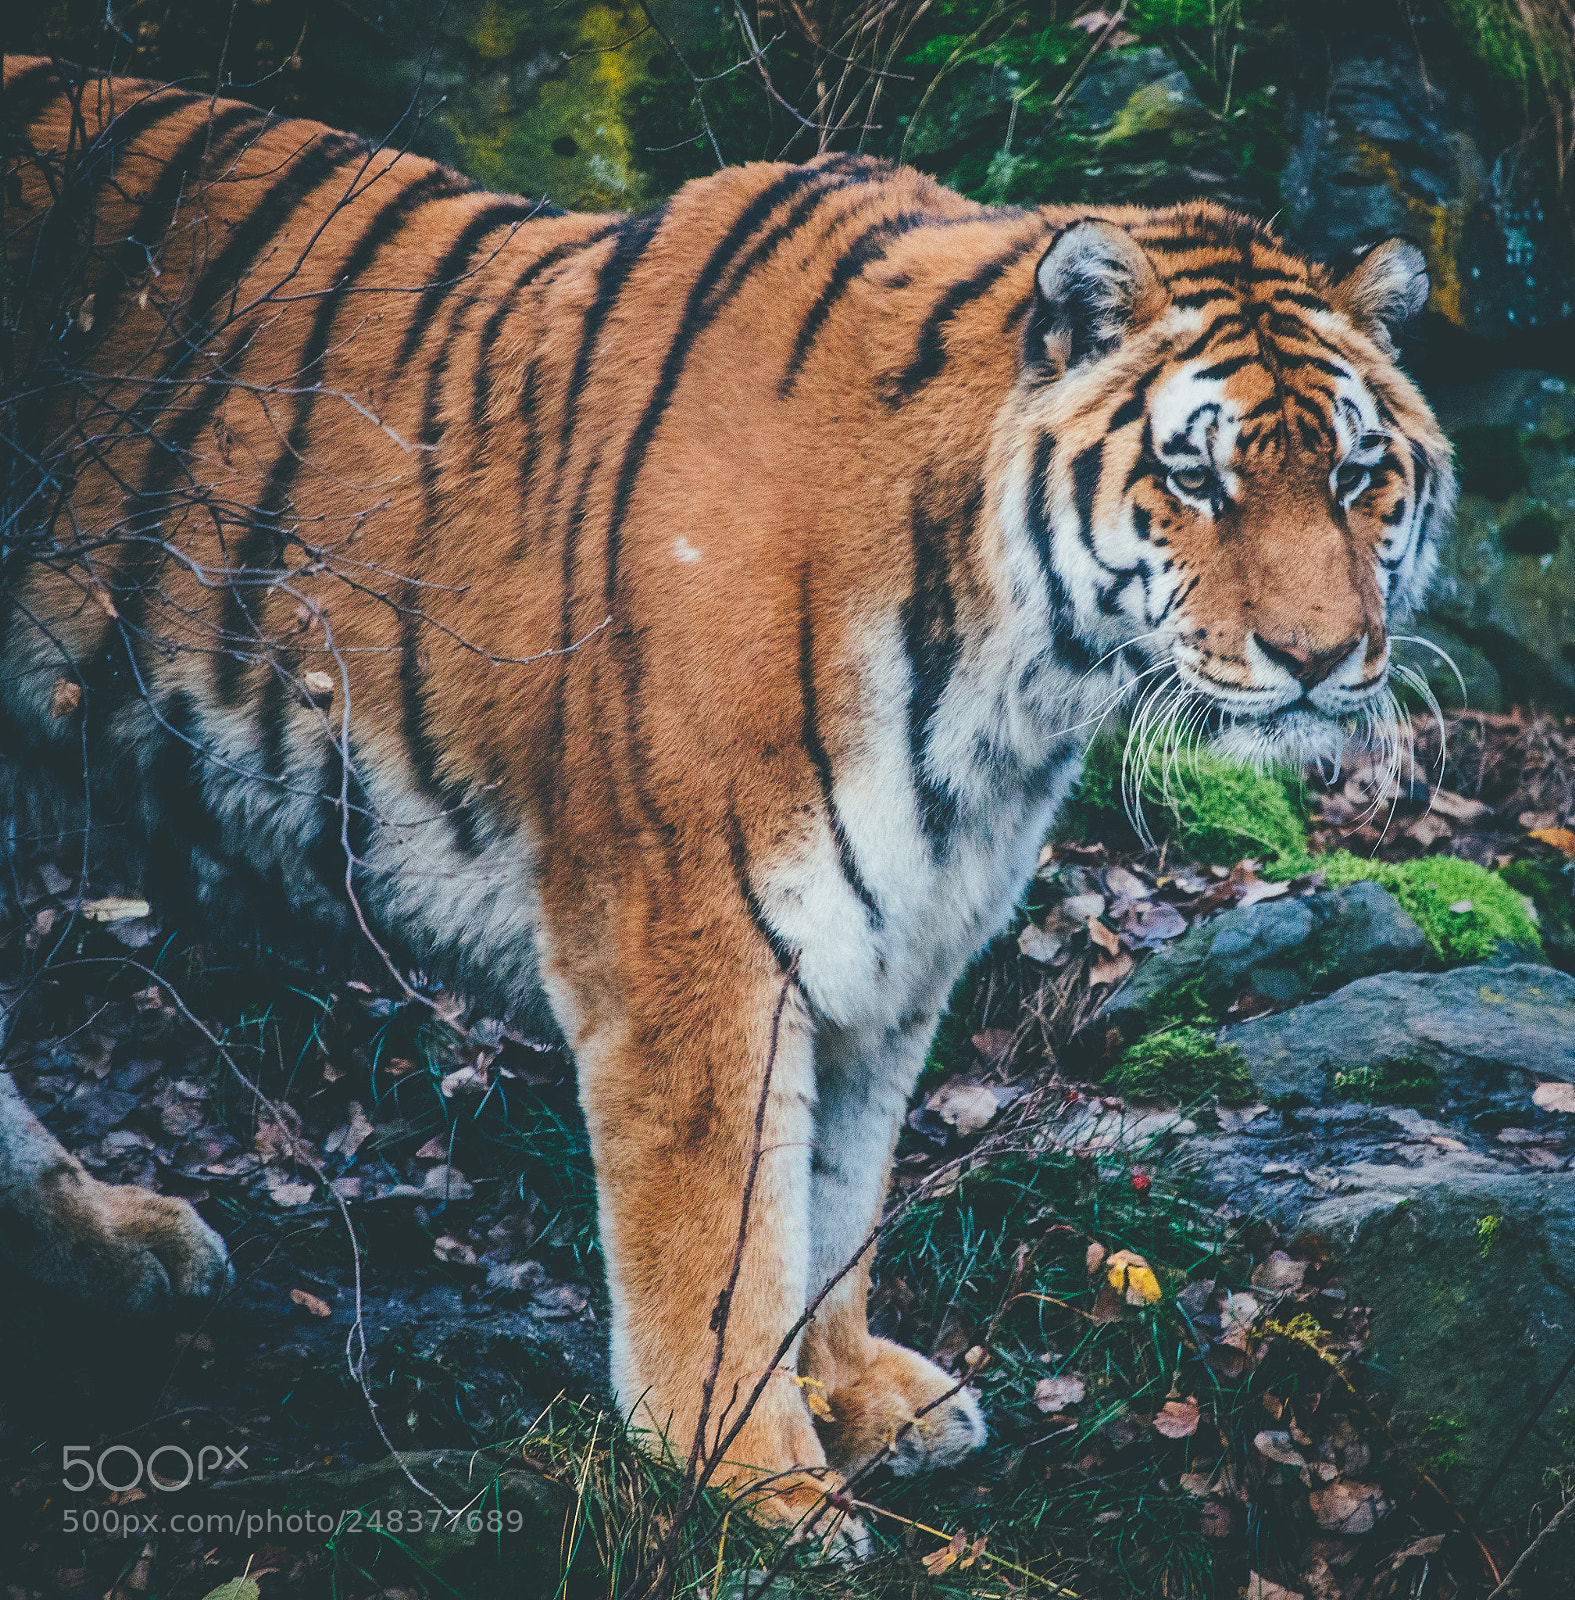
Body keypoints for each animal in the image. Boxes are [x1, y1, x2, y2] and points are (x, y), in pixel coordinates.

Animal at [0, 55, 1451, 1544]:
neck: (1008, 689)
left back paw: (105, 1244)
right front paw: (751, 1473)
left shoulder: (903, 938)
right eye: (1193, 476)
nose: (1321, 656)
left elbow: (838, 1194)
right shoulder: (685, 932)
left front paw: (856, 1396)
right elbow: (723, 1231)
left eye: (1354, 475)